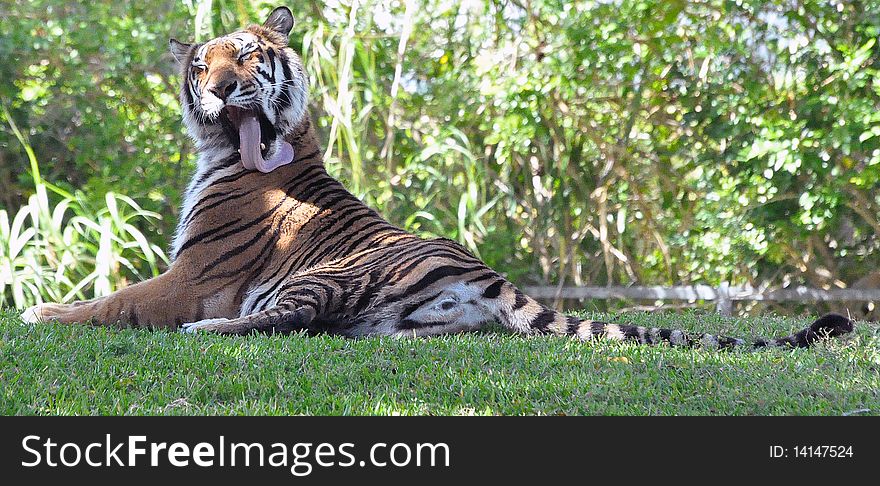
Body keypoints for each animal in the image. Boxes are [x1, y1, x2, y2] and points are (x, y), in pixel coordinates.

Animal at [22, 6, 852, 350]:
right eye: (203, 66)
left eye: (248, 57)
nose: (223, 87)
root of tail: (484, 273)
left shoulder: (194, 276)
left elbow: (116, 301)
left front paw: (43, 313)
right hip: (397, 314)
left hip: (318, 277)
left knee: (279, 322)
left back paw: (208, 331)